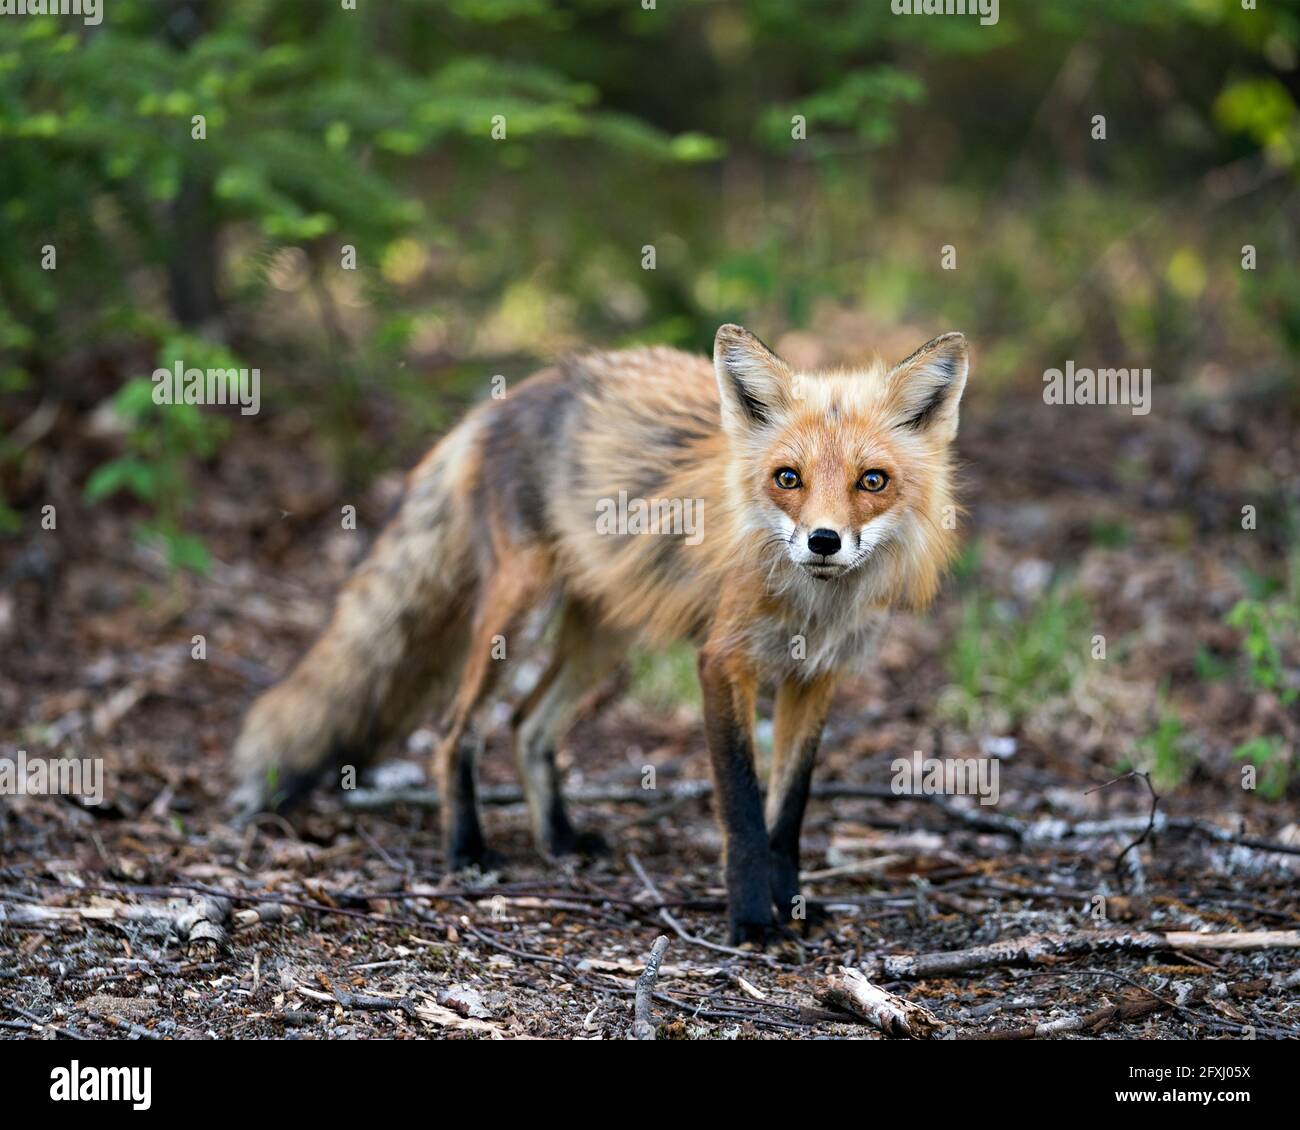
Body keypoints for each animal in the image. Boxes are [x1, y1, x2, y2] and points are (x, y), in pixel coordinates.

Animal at [233, 323, 967, 941]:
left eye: (872, 481)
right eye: (788, 478)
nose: (823, 541)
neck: (814, 607)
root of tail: (505, 400)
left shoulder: (815, 676)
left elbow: (788, 813)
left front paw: (791, 906)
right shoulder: (723, 663)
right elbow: (743, 808)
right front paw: (753, 920)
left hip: (606, 635)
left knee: (526, 723)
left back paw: (558, 840)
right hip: (520, 614)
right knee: (454, 730)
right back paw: (466, 851)